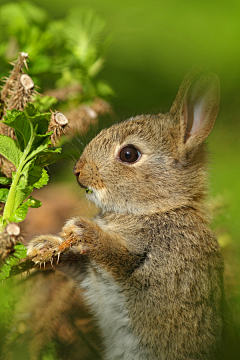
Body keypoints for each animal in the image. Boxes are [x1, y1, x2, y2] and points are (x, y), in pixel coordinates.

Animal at [26, 71, 234, 360]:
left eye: (129, 154)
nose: (79, 172)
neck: (156, 209)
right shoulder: (91, 273)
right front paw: (43, 246)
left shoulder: (149, 262)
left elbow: (118, 257)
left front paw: (83, 230)